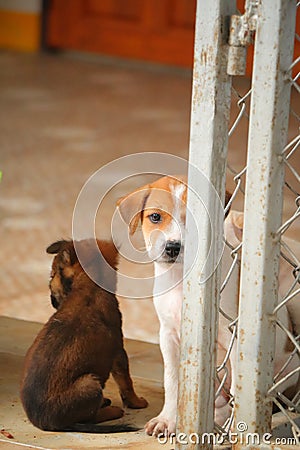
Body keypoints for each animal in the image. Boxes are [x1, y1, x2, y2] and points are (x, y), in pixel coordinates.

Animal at [20, 239, 148, 432]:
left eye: (51, 276)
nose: (52, 300)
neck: (90, 286)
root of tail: (44, 422)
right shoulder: (119, 351)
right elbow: (126, 382)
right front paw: (136, 402)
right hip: (90, 383)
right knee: (91, 417)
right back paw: (112, 411)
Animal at [118, 175, 300, 436]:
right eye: (155, 217)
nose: (172, 247)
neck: (180, 280)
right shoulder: (168, 335)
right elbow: (172, 381)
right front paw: (167, 419)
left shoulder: (234, 338)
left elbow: (237, 391)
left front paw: (236, 429)